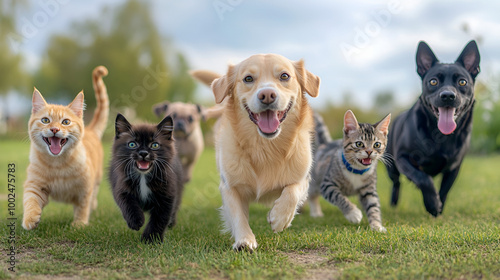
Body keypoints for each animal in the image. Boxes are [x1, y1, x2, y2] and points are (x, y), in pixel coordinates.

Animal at [22, 65, 109, 230]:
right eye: (45, 120)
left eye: (66, 122)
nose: (55, 129)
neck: (58, 165)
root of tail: (90, 130)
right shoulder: (34, 184)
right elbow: (31, 200)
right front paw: (30, 219)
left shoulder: (85, 188)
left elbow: (82, 206)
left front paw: (80, 223)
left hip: (97, 179)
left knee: (94, 196)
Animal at [109, 114, 184, 243]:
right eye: (132, 144)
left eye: (155, 145)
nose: (143, 153)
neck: (143, 177)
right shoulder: (121, 186)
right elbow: (128, 204)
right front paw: (136, 221)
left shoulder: (168, 193)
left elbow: (160, 218)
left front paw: (151, 239)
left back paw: (171, 224)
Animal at [386, 40, 480, 217]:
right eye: (433, 81)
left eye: (462, 82)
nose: (448, 95)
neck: (442, 135)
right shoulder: (403, 158)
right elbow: (423, 178)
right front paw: (432, 204)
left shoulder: (454, 167)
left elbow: (444, 190)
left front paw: (438, 207)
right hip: (391, 167)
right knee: (396, 182)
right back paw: (393, 201)